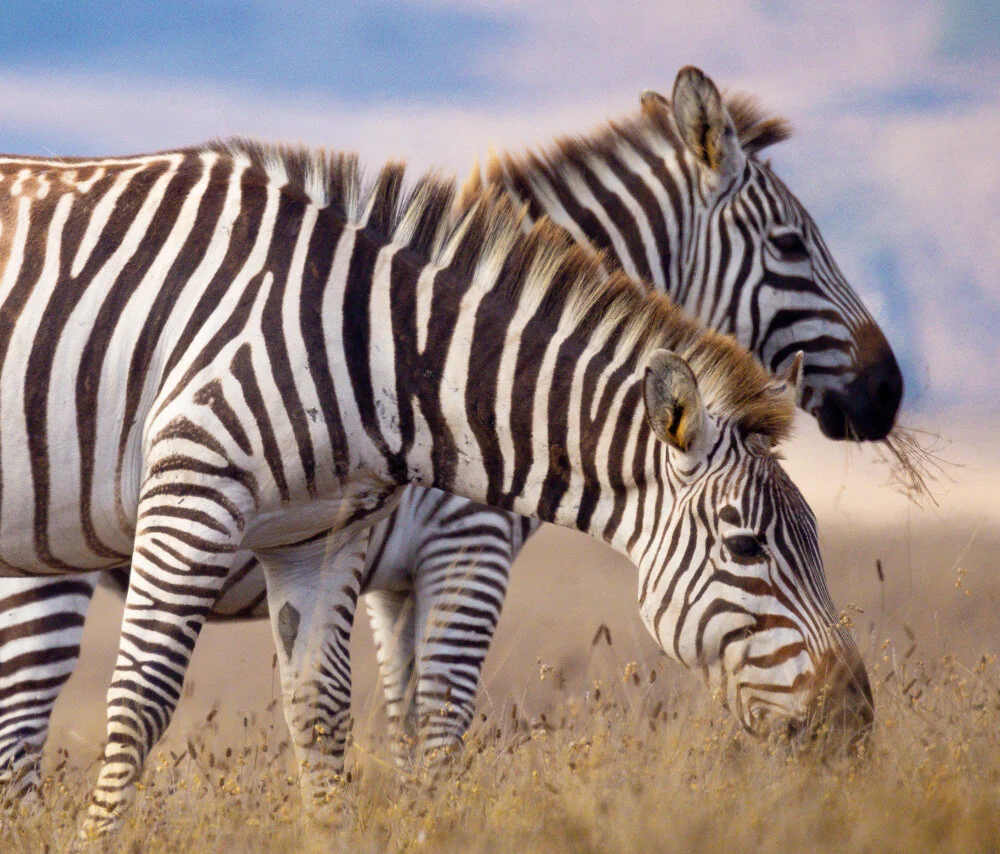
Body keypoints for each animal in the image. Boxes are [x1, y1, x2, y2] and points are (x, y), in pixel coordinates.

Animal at [0, 65, 895, 805]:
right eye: (790, 244)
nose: (888, 390)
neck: (407, 355)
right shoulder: (466, 546)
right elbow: (438, 728)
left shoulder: (372, 566)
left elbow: (385, 723)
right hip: (48, 558)